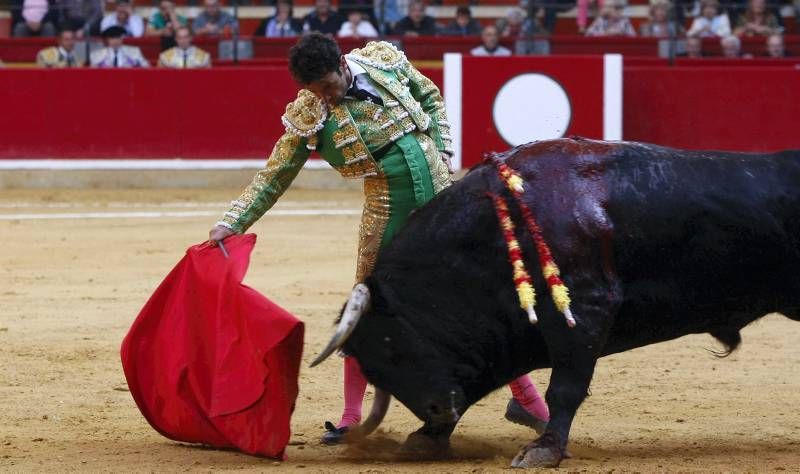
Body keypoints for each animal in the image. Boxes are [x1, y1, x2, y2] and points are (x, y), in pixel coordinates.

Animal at [310, 137, 796, 466]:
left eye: (390, 344)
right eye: (373, 367)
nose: (436, 408)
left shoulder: (585, 309)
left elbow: (565, 387)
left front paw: (543, 450)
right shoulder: (500, 339)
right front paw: (428, 436)